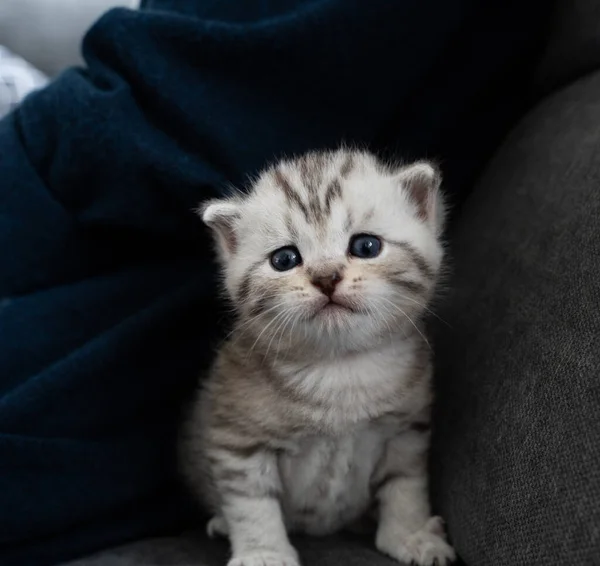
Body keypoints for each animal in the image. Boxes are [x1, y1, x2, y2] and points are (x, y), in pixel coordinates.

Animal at [180, 150, 458, 566]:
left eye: (366, 247)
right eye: (284, 259)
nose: (326, 277)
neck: (339, 366)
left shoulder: (407, 429)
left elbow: (404, 487)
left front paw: (410, 535)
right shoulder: (237, 440)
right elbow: (251, 503)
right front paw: (264, 552)